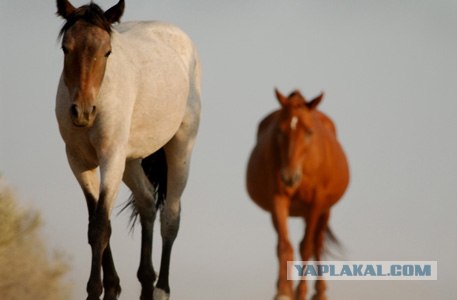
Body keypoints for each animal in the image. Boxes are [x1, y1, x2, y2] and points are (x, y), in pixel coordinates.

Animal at [54, 1, 200, 298]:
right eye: (66, 48)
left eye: (107, 51)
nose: (82, 112)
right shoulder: (78, 161)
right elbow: (99, 221)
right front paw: (111, 287)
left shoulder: (110, 157)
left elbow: (99, 226)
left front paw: (94, 290)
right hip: (130, 161)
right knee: (147, 202)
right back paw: (146, 281)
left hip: (180, 148)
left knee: (170, 217)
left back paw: (160, 289)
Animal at [248, 89, 348, 300]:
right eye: (280, 131)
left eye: (309, 132)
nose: (289, 177)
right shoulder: (278, 199)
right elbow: (284, 246)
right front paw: (283, 291)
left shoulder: (317, 202)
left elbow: (307, 246)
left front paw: (300, 292)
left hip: (324, 210)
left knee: (317, 243)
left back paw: (319, 292)